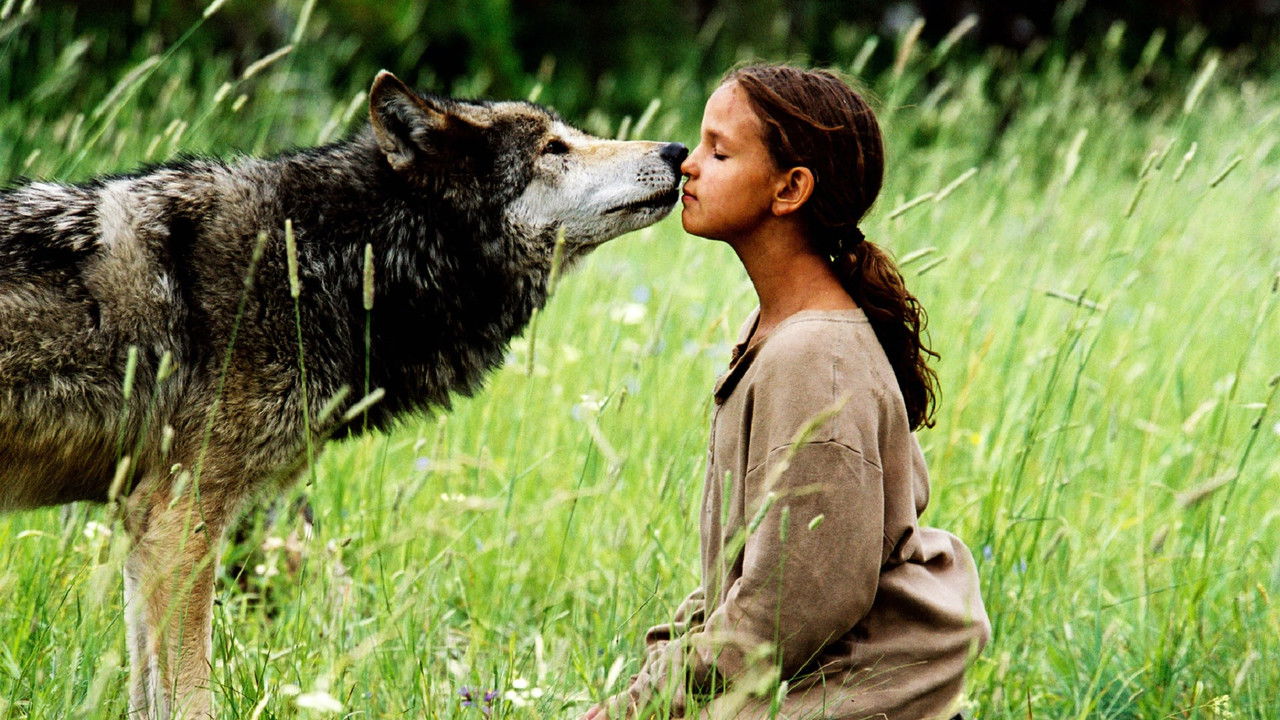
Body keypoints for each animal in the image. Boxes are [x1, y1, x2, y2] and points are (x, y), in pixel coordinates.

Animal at [0, 70, 687, 718]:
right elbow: (192, 695)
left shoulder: (143, 524)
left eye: (569, 137)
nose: (678, 149)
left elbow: (145, 694)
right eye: (553, 148)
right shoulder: (181, 520)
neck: (332, 257)